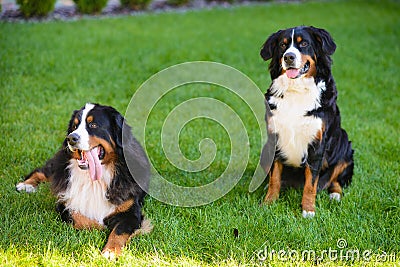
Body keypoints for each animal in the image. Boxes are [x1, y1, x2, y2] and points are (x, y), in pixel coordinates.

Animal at [15, 103, 152, 260]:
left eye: (93, 125)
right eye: (74, 126)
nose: (71, 138)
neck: (94, 180)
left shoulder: (131, 212)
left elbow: (119, 231)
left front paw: (110, 251)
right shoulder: (65, 203)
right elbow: (79, 219)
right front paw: (102, 226)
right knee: (42, 171)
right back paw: (26, 185)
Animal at [260, 25, 354, 218]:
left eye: (304, 44)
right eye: (283, 45)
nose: (288, 57)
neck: (296, 90)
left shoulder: (317, 143)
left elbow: (311, 183)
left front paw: (308, 210)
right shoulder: (274, 138)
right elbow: (274, 178)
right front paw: (269, 202)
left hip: (344, 143)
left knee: (335, 178)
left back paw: (335, 194)